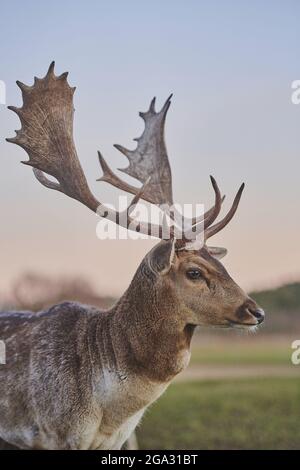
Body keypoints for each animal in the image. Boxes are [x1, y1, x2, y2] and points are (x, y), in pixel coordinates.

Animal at [0, 62, 264, 448]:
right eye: (194, 272)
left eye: (221, 263)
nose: (256, 311)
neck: (108, 413)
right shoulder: (55, 432)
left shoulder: (119, 438)